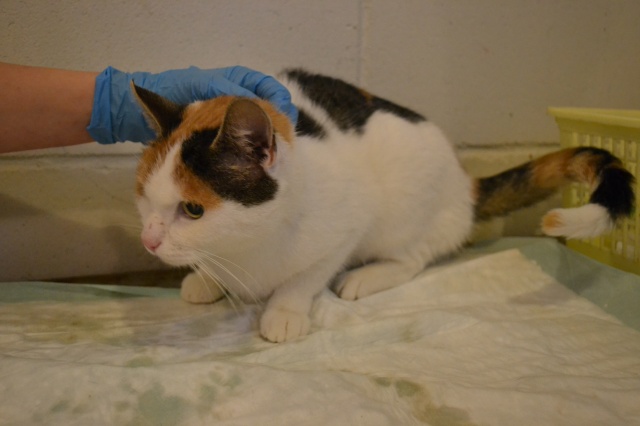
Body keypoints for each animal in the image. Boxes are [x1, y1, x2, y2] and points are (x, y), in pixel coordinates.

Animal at [132, 68, 634, 343]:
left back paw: (367, 276)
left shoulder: (345, 227)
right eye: (143, 196)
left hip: (404, 210)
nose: (149, 241)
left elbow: (305, 277)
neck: (248, 247)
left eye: (193, 210)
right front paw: (207, 279)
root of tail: (463, 180)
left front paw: (285, 310)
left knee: (414, 258)